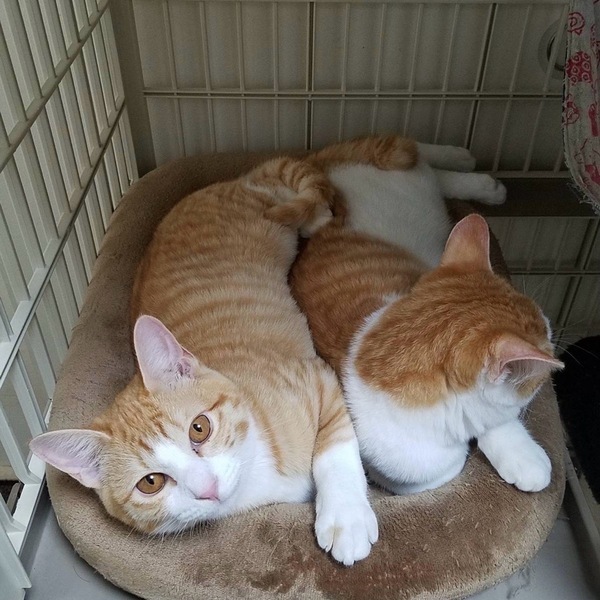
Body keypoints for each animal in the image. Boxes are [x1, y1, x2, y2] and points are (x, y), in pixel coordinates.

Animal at [30, 156, 378, 565]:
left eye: (199, 429)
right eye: (151, 482)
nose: (208, 488)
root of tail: (238, 178)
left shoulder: (318, 378)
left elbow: (334, 449)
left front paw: (346, 516)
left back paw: (317, 217)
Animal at [292, 135, 564, 495]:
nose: (552, 342)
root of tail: (318, 161)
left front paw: (521, 455)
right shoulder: (411, 474)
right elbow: (457, 455)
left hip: (398, 165)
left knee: (421, 154)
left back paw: (473, 172)